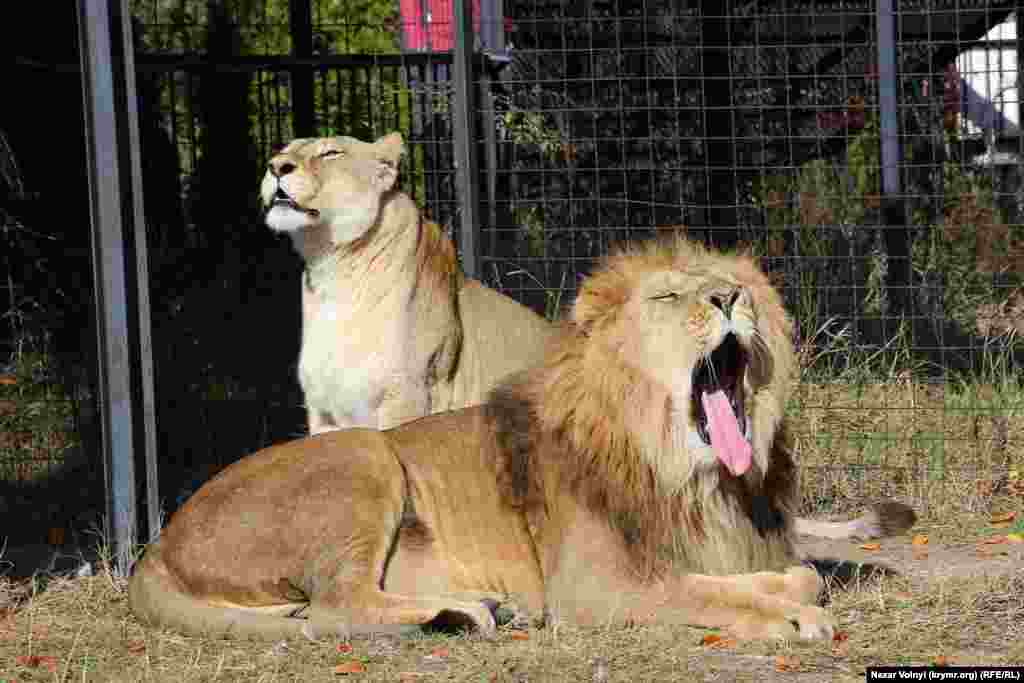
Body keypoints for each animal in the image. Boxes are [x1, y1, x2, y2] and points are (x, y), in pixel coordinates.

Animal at [128, 235, 897, 643]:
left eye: (737, 285)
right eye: (668, 297)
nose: (729, 299)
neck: (687, 472)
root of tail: (157, 542)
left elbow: (792, 573)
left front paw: (790, 594)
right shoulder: (594, 589)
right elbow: (711, 597)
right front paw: (788, 619)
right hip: (364, 451)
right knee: (336, 601)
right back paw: (468, 609)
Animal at [260, 130, 557, 432]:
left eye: (331, 153)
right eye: (283, 151)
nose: (276, 166)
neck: (331, 265)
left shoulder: (408, 393)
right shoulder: (322, 414)